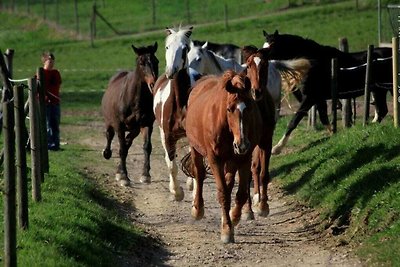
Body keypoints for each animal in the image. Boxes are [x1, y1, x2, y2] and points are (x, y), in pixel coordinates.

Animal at [101, 43, 159, 187]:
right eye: (141, 63)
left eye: (156, 61)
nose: (153, 84)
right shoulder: (120, 126)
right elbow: (122, 149)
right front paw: (124, 177)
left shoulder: (147, 124)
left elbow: (146, 147)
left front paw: (145, 175)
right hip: (110, 123)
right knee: (110, 136)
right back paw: (107, 153)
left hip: (136, 128)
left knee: (128, 141)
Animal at [187, 70, 264, 244]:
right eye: (229, 109)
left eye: (249, 108)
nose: (241, 144)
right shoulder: (215, 159)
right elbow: (222, 193)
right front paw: (227, 231)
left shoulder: (244, 158)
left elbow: (240, 194)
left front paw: (233, 218)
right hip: (196, 149)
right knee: (199, 175)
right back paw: (197, 209)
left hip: (231, 161)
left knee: (229, 183)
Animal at [260, 30, 392, 154]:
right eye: (265, 43)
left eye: (272, 44)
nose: (260, 57)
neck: (313, 62)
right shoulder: (319, 98)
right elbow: (324, 118)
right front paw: (333, 134)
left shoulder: (310, 97)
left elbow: (295, 120)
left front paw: (276, 148)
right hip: (378, 90)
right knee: (382, 110)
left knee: (383, 110)